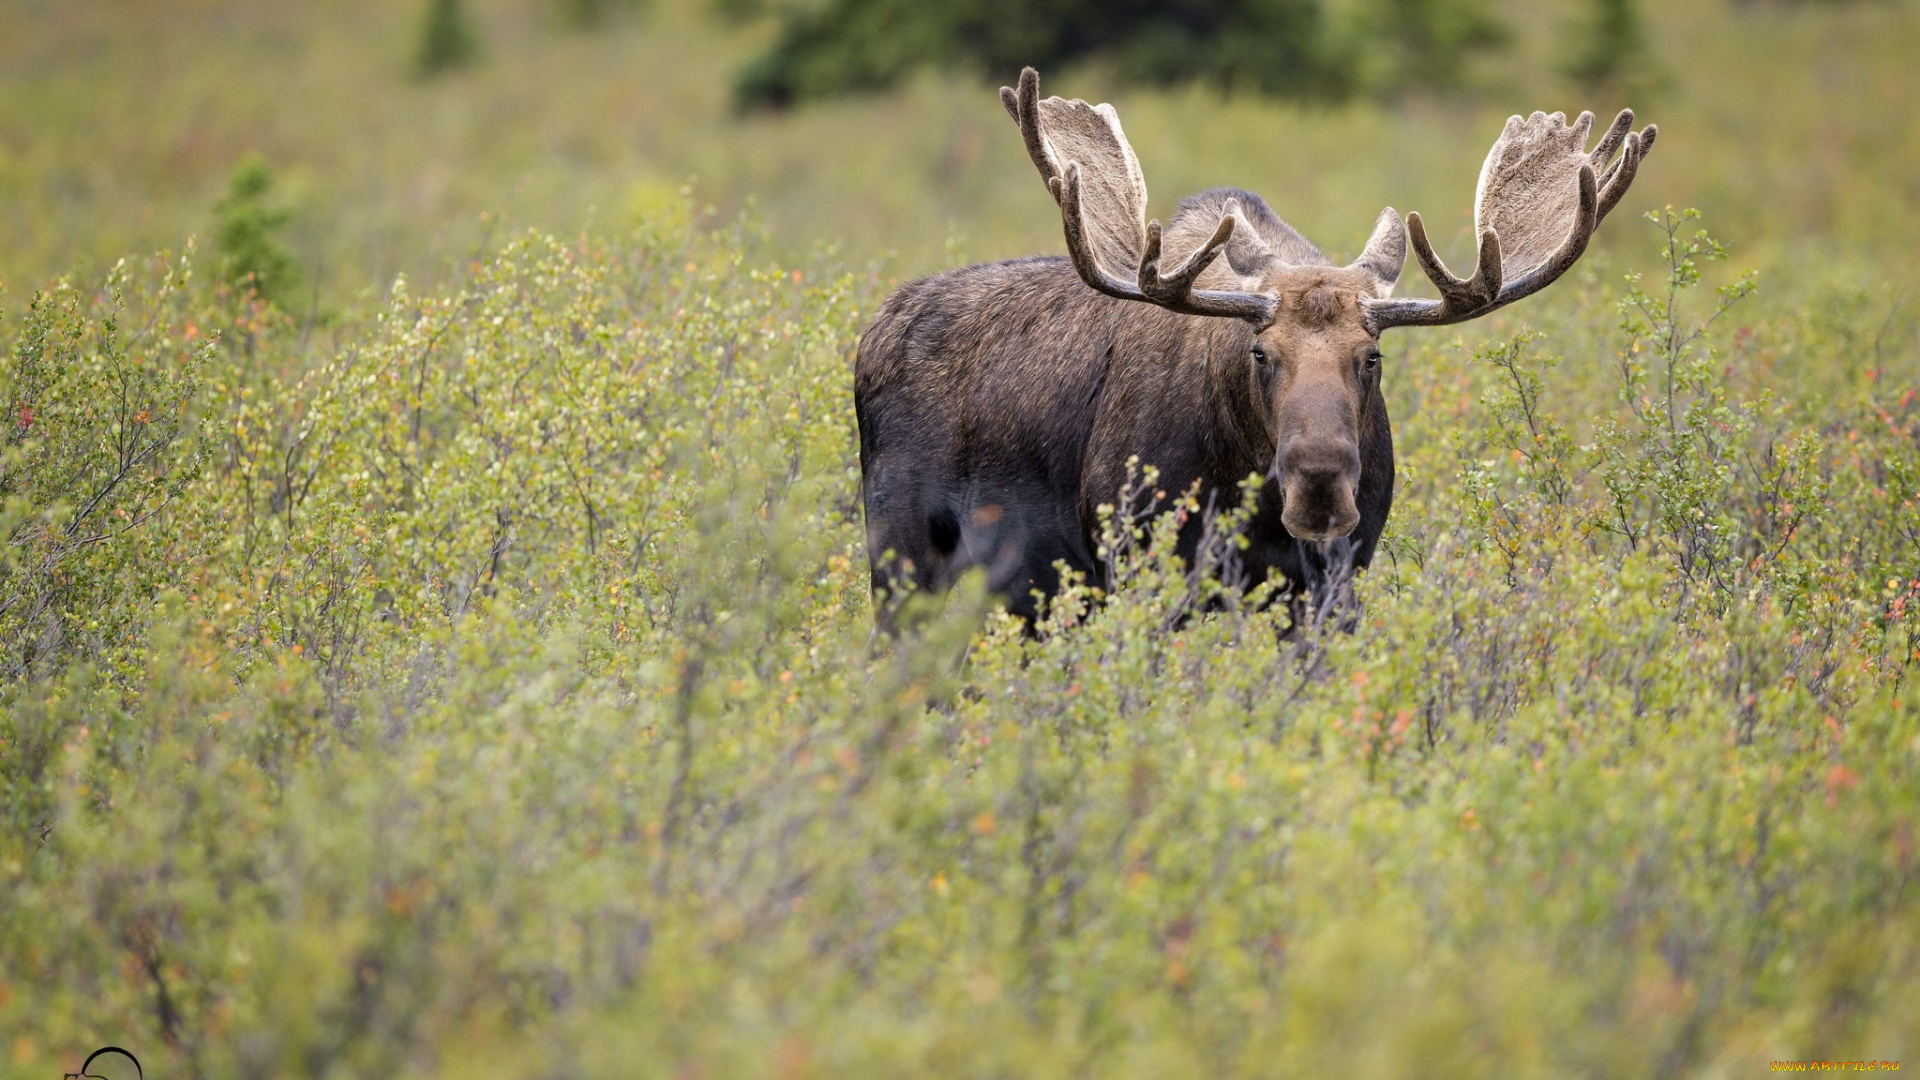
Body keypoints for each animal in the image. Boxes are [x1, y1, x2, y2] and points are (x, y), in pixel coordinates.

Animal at [856, 67, 1651, 622]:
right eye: (1260, 354)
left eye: (1371, 357)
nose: (1320, 481)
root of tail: (872, 331)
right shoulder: (1144, 567)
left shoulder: (1332, 583)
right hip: (901, 560)